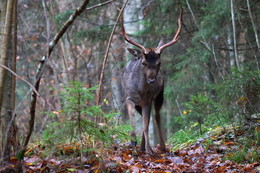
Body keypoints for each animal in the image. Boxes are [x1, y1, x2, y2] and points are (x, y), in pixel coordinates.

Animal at [121, 8, 183, 153]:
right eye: (144, 63)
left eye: (159, 63)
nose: (151, 80)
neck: (140, 91)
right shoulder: (129, 98)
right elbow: (133, 118)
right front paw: (133, 141)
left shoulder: (148, 100)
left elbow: (145, 124)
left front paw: (149, 150)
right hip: (141, 103)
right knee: (147, 118)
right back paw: (142, 147)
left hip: (160, 95)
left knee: (156, 117)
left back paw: (161, 146)